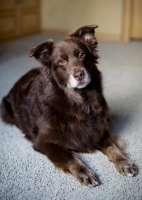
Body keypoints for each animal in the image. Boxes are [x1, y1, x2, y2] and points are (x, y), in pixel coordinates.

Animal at [0, 24, 138, 186]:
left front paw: (124, 162)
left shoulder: (100, 131)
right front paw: (84, 172)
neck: (80, 102)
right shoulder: (43, 142)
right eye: (61, 61)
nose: (79, 75)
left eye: (81, 55)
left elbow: (113, 147)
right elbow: (69, 156)